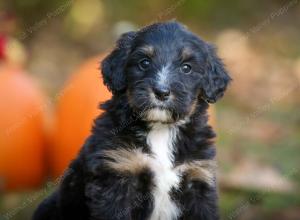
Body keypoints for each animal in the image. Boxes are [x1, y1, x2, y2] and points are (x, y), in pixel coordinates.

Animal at [34, 21, 232, 220]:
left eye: (186, 68)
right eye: (144, 63)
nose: (161, 92)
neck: (160, 130)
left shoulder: (198, 178)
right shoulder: (117, 176)